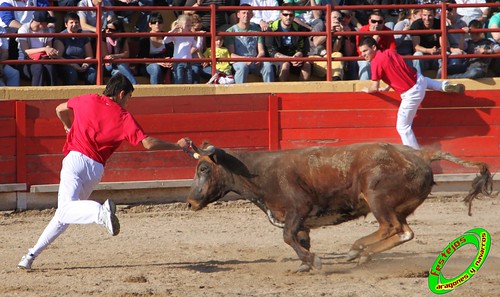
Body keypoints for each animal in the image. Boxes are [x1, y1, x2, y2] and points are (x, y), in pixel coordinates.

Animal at [187, 141, 492, 270]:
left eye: (203, 168)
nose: (190, 201)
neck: (259, 171)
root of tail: (421, 154)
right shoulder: (300, 221)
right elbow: (299, 239)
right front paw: (304, 265)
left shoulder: (298, 210)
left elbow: (288, 237)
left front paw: (314, 261)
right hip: (398, 206)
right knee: (403, 231)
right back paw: (361, 253)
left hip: (378, 199)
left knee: (390, 227)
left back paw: (356, 249)